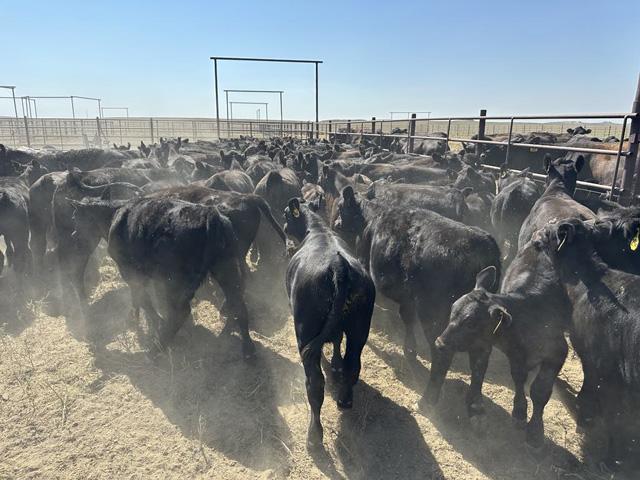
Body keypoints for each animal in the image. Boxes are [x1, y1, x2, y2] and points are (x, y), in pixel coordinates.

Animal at [284, 197, 375, 448]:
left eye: (285, 214)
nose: (284, 228)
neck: (317, 229)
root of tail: (338, 265)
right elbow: (335, 339)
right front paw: (335, 362)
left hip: (304, 328)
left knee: (315, 383)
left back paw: (314, 435)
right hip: (360, 329)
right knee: (352, 364)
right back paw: (345, 399)